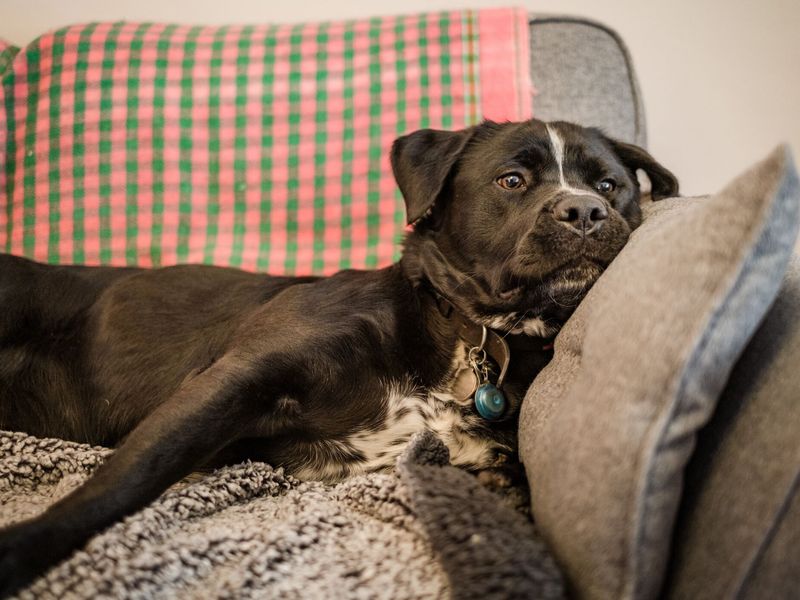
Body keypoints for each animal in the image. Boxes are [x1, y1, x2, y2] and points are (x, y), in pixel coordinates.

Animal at [0, 118, 676, 596]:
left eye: (610, 186)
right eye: (512, 180)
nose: (586, 211)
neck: (462, 330)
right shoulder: (233, 380)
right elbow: (127, 477)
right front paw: (27, 550)